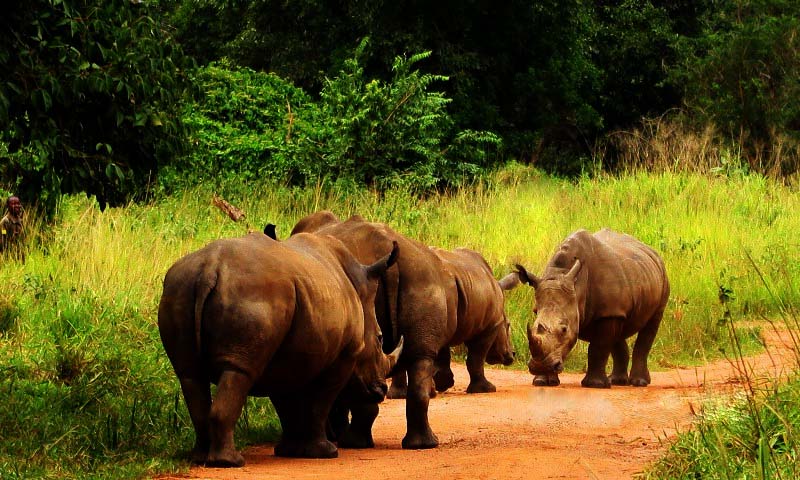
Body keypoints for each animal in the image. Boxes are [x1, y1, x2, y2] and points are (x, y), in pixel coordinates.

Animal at [157, 232, 403, 466]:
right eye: (380, 338)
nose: (381, 390)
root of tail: (210, 268)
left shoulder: (283, 354)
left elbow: (285, 402)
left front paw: (289, 451)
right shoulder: (345, 356)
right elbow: (320, 402)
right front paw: (325, 453)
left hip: (180, 288)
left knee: (190, 374)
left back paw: (200, 459)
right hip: (254, 293)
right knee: (239, 371)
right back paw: (229, 462)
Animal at [291, 212, 518, 449]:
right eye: (508, 326)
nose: (512, 355)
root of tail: (382, 248)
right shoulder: (491, 324)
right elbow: (469, 354)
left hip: (418, 279)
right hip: (424, 280)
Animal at [514, 228, 669, 388]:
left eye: (564, 329)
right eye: (533, 326)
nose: (539, 366)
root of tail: (652, 252)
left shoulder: (607, 313)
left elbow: (598, 348)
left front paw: (595, 384)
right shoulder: (610, 310)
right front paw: (542, 382)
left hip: (661, 279)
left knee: (650, 325)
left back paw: (639, 382)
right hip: (628, 284)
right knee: (619, 329)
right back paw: (617, 381)